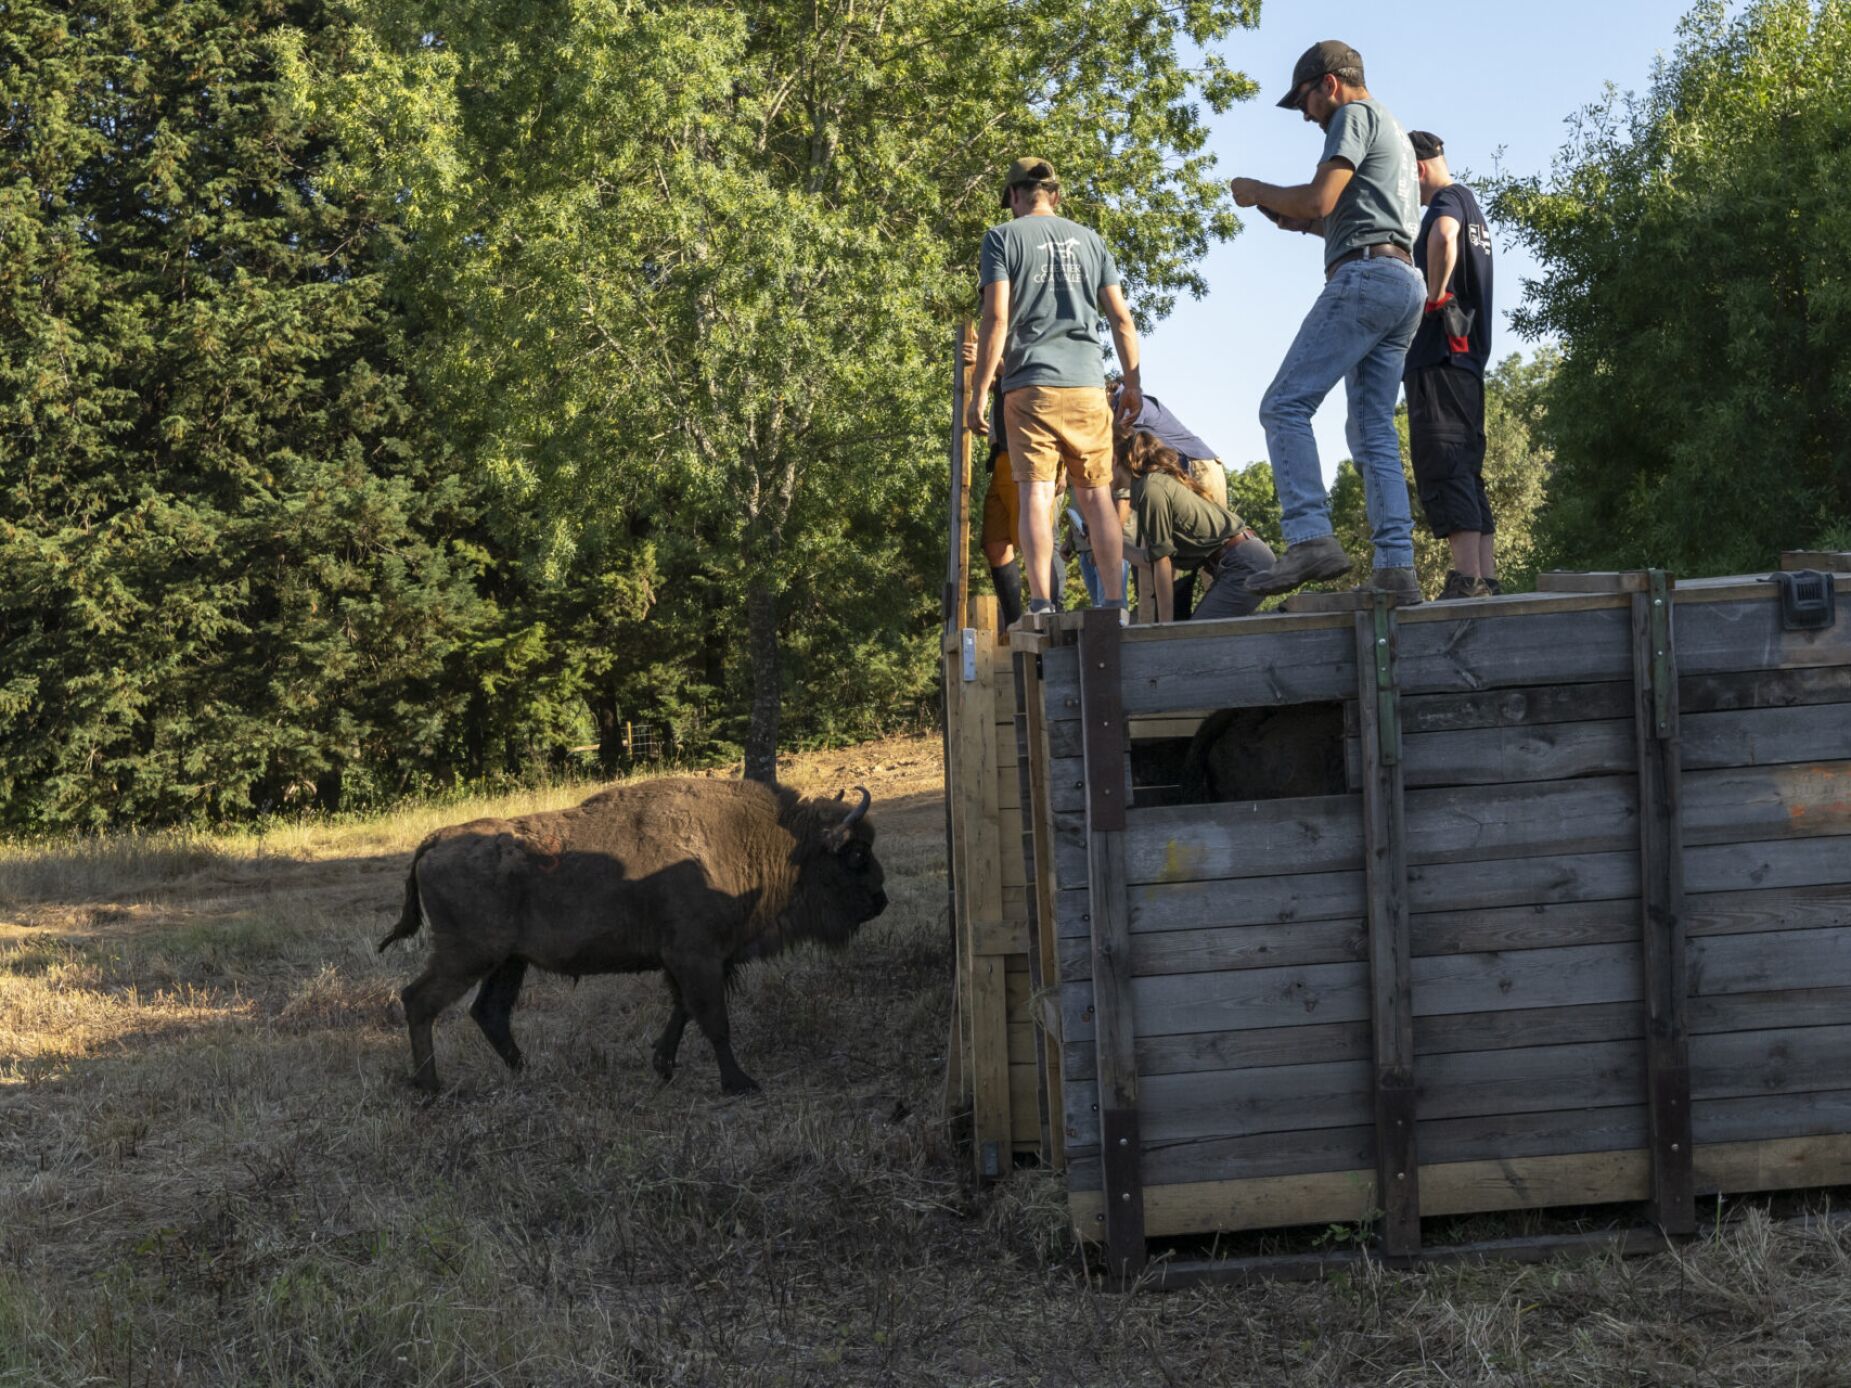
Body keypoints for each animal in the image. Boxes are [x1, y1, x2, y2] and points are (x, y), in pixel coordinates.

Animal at [373, 784, 881, 1095]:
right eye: (856, 854)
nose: (882, 899)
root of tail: (435, 839)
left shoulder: (692, 962)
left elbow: (684, 1012)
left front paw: (663, 1064)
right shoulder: (695, 957)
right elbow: (713, 1020)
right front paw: (740, 1082)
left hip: (507, 962)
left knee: (489, 1012)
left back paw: (527, 1071)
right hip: (468, 956)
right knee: (419, 1000)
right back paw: (431, 1088)